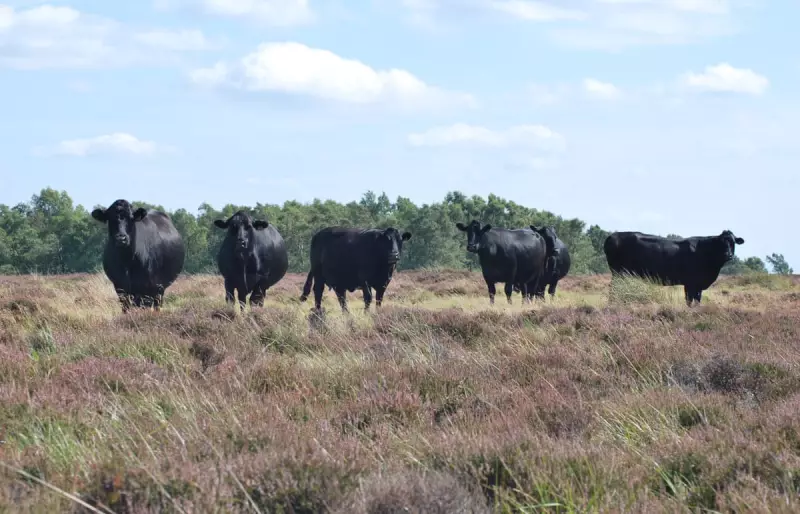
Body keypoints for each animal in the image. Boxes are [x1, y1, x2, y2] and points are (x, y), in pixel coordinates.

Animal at [603, 230, 745, 306]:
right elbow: (689, 301)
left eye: (732, 242)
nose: (728, 255)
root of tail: (612, 236)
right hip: (619, 273)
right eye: (721, 243)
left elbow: (697, 300)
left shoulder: (698, 285)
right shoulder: (691, 283)